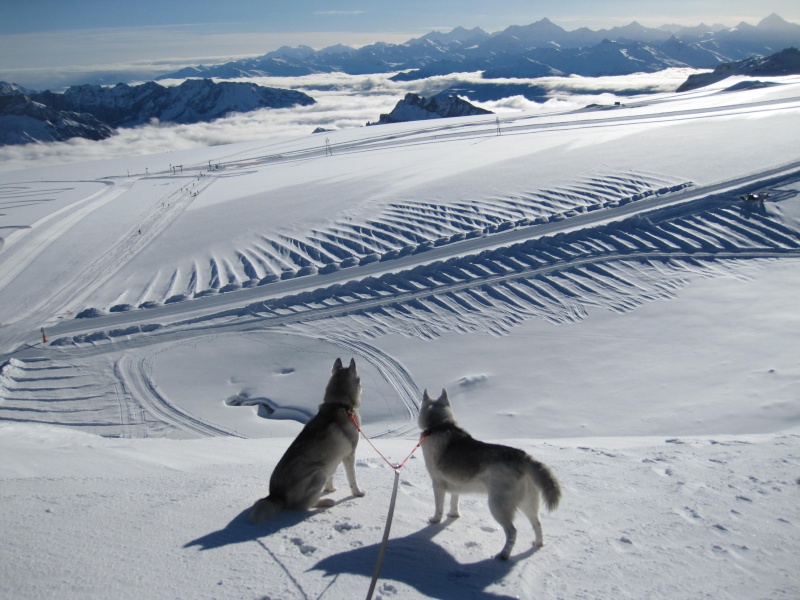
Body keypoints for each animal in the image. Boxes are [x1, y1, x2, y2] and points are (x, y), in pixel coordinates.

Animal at [248, 358, 368, 524]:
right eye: (360, 379)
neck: (339, 404)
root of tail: (276, 495)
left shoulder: (333, 460)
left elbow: (331, 478)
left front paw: (330, 490)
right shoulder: (349, 455)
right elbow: (353, 479)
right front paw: (357, 493)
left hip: (322, 470)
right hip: (319, 473)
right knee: (303, 505)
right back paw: (325, 502)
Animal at [418, 386, 564, 560]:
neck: (440, 425)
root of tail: (522, 456)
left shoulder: (438, 484)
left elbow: (438, 507)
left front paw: (435, 520)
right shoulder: (456, 485)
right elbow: (454, 502)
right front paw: (453, 515)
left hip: (498, 506)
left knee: (513, 532)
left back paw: (503, 555)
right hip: (527, 504)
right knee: (538, 524)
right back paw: (538, 544)